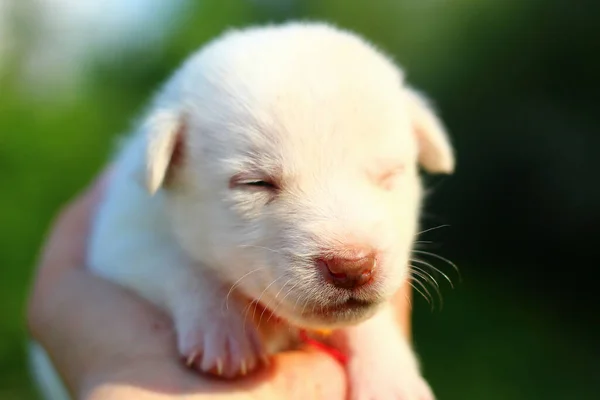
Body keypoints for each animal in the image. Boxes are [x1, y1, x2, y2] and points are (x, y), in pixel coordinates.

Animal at [31, 21, 454, 400]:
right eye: (256, 183)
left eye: (389, 174)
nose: (352, 266)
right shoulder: (118, 237)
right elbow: (177, 261)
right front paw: (222, 328)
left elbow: (372, 321)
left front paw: (389, 376)